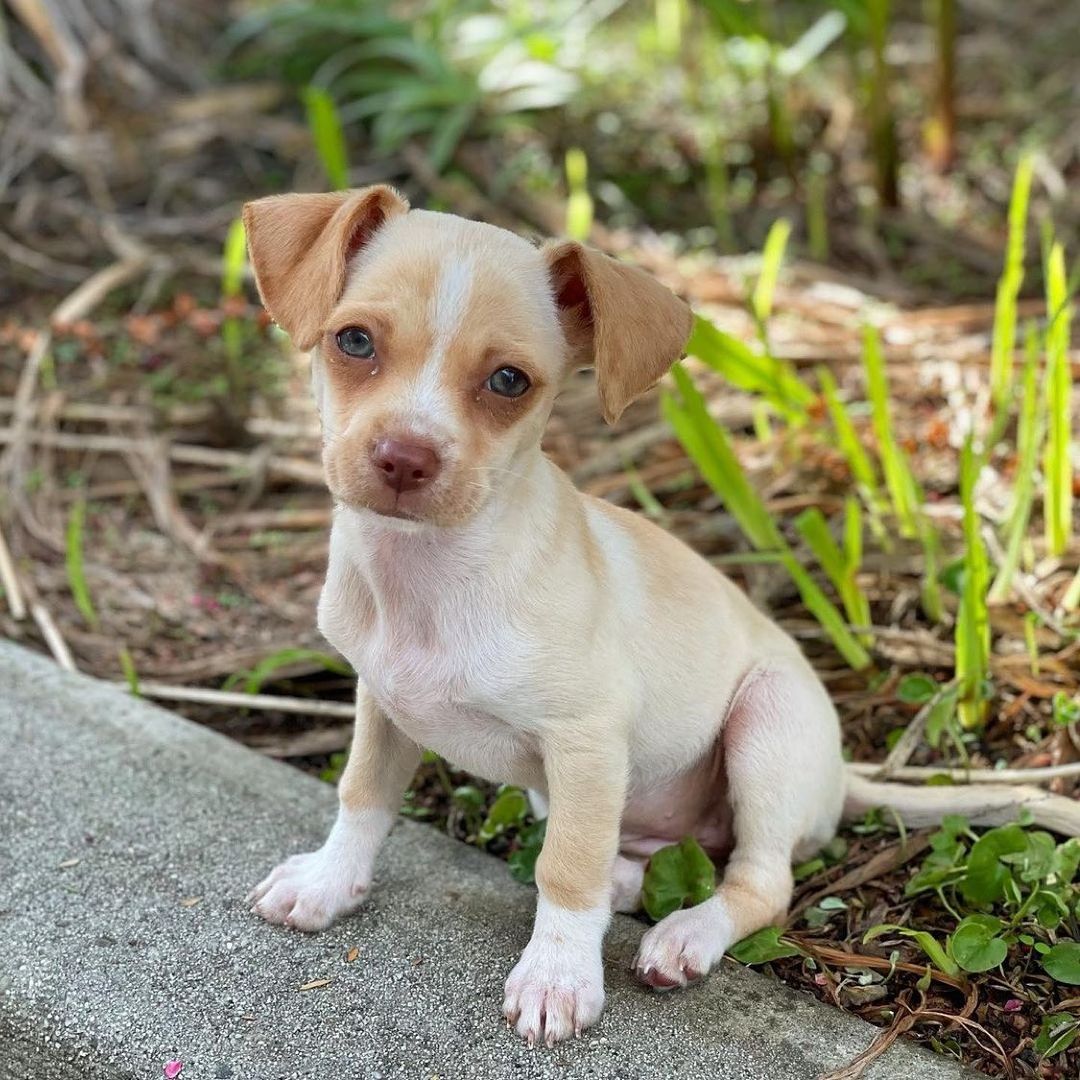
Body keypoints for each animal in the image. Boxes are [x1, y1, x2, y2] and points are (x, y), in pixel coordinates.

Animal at [243, 187, 1080, 1045]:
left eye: (509, 381)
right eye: (353, 340)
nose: (404, 459)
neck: (430, 574)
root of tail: (844, 776)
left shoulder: (584, 740)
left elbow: (566, 867)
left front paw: (556, 978)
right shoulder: (383, 704)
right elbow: (363, 797)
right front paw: (329, 881)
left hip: (765, 726)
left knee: (758, 880)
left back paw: (688, 935)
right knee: (637, 857)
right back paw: (627, 885)